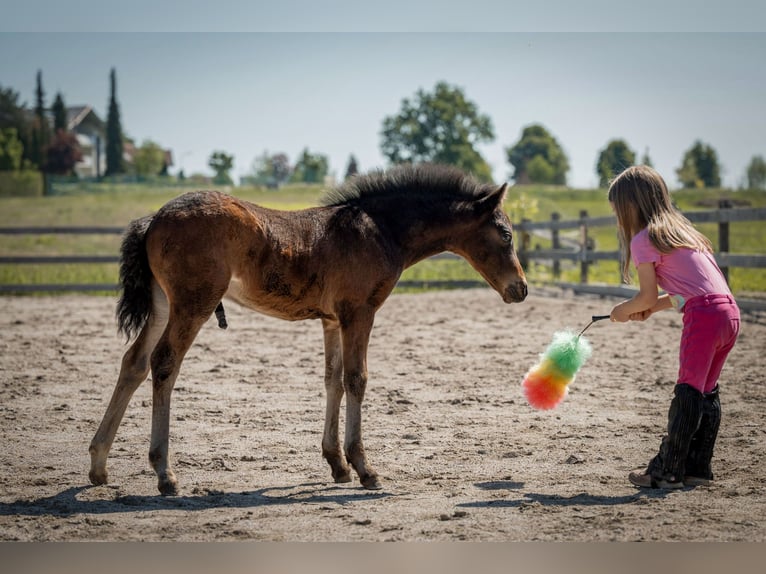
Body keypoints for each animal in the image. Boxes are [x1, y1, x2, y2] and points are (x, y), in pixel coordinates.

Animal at [88, 164, 528, 498]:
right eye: (506, 234)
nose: (520, 289)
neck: (380, 229)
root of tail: (152, 219)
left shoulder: (332, 320)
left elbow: (332, 379)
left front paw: (337, 464)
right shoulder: (359, 313)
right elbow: (356, 379)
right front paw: (365, 468)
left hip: (163, 304)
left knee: (133, 363)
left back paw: (98, 465)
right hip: (193, 304)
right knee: (164, 363)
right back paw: (165, 474)